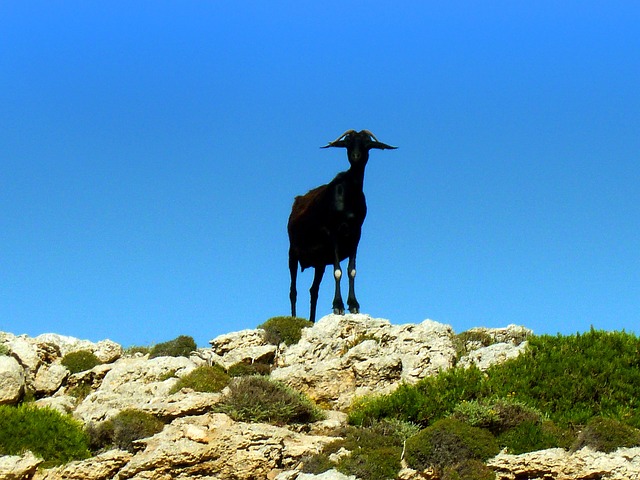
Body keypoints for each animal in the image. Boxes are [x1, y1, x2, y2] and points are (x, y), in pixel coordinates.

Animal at [288, 129, 398, 322]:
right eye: (348, 142)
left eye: (367, 143)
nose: (355, 156)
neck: (348, 196)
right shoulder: (334, 234)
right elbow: (338, 271)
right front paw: (338, 306)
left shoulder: (356, 235)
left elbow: (351, 270)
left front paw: (353, 304)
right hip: (292, 252)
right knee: (293, 291)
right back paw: (294, 318)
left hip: (319, 263)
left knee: (313, 290)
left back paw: (311, 320)